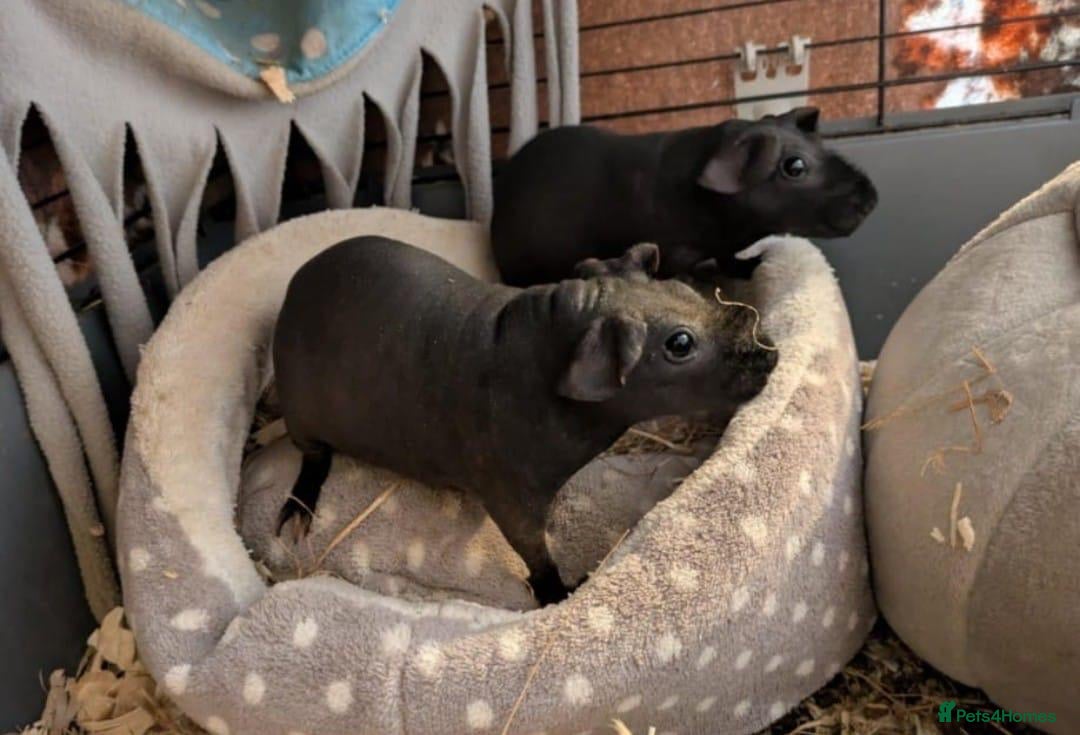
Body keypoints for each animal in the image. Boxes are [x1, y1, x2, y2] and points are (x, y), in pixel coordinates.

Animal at [272, 238, 778, 604]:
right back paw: (294, 519)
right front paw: (564, 591)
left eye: (684, 291)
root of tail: (294, 288)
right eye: (679, 343)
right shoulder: (510, 499)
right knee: (312, 459)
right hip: (301, 420)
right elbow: (536, 553)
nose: (770, 352)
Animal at [491, 107, 878, 286]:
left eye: (822, 146)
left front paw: (756, 263)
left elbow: (730, 261)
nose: (872, 198)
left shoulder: (724, 246)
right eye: (795, 166)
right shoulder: (675, 252)